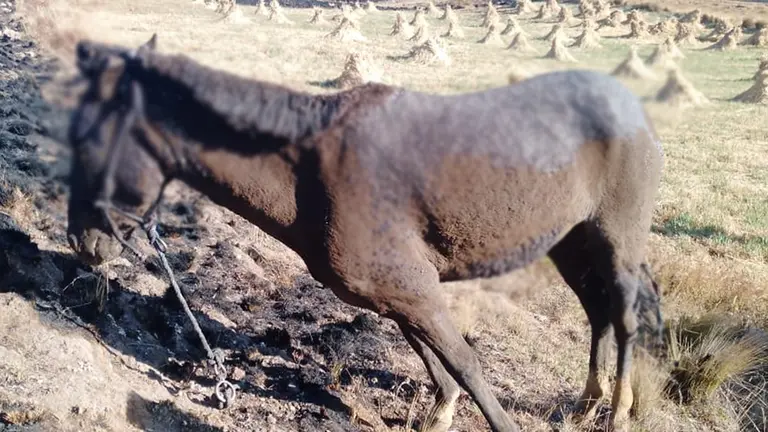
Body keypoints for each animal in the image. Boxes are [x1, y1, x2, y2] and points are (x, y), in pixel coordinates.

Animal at [65, 34, 664, 432]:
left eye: (86, 142)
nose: (81, 243)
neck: (310, 170)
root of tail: (629, 103)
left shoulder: (413, 288)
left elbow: (465, 365)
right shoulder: (398, 292)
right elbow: (435, 362)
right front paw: (439, 414)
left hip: (615, 238)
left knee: (624, 315)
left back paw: (618, 412)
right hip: (570, 243)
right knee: (596, 312)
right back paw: (588, 403)